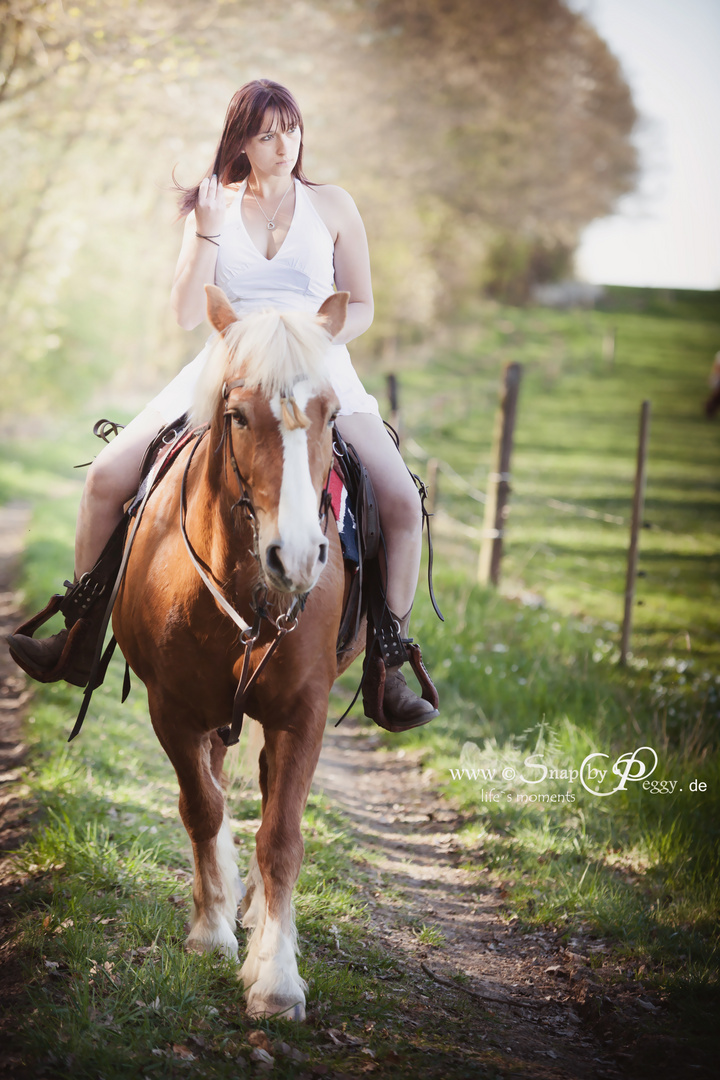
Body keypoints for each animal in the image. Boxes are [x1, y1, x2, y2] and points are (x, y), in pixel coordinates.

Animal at [113, 287, 362, 1019]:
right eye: (237, 415)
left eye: (330, 413)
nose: (298, 558)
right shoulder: (172, 709)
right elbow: (202, 808)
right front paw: (209, 932)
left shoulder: (303, 712)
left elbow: (281, 836)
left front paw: (275, 978)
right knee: (220, 787)